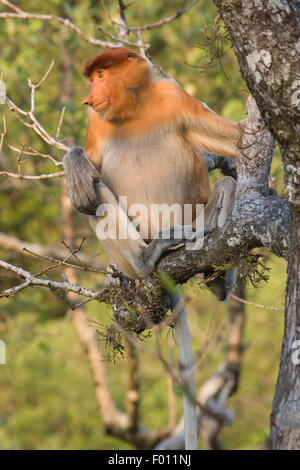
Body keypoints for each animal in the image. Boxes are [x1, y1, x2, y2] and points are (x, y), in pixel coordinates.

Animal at [63, 46, 241, 298]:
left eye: (100, 75)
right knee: (91, 192)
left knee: (227, 184)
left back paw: (217, 278)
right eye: (93, 79)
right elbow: (91, 169)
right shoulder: (97, 121)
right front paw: (75, 163)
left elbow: (236, 139)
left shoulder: (174, 95)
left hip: (195, 225)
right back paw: (146, 258)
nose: (87, 99)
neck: (134, 109)